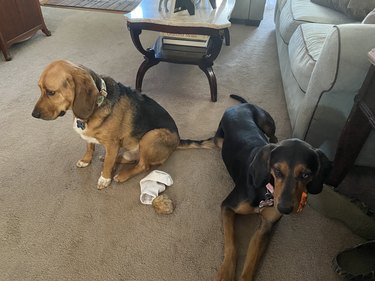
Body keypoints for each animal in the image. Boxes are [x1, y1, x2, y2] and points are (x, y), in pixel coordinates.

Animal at [31, 60, 214, 189]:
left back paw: (122, 175)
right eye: (39, 89)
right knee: (128, 159)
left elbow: (107, 165)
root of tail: (178, 140)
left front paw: (104, 179)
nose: (33, 115)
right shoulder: (92, 138)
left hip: (151, 135)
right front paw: (86, 160)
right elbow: (89, 147)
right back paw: (112, 159)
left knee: (143, 165)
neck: (99, 101)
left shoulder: (112, 143)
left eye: (51, 92)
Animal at [214, 94, 332, 280]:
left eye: (306, 175)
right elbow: (231, 243)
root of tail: (242, 106)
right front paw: (226, 272)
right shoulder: (227, 207)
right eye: (277, 170)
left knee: (273, 135)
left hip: (267, 123)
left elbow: (250, 265)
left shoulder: (266, 227)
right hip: (219, 141)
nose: (284, 208)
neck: (265, 192)